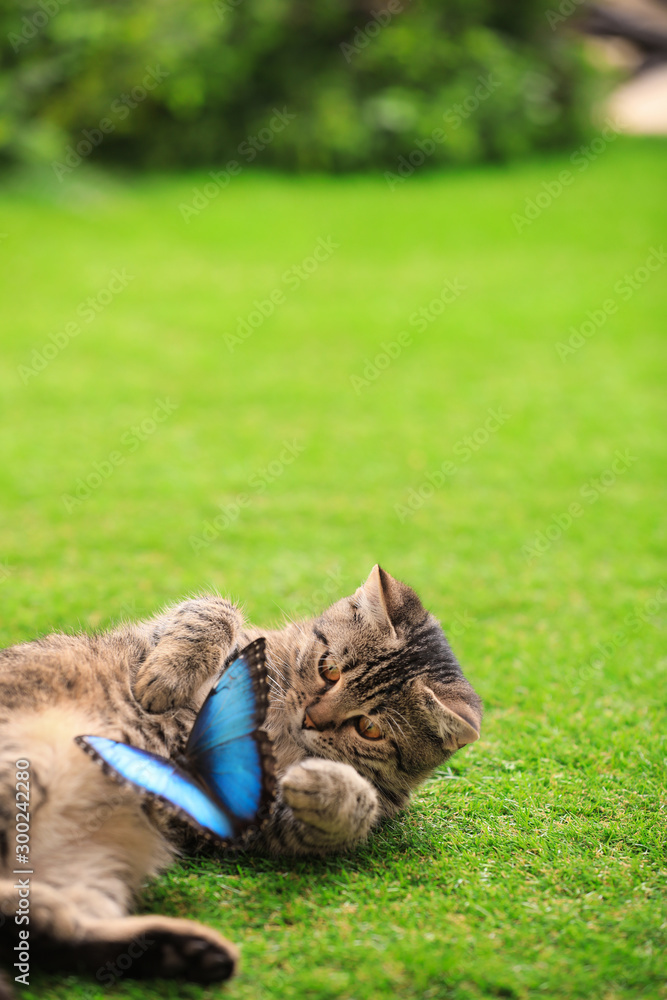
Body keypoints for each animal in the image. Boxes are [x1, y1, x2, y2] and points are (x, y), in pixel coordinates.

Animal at [0, 568, 480, 988]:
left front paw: (331, 787)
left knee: (41, 929)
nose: (312, 718)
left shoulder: (251, 819)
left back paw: (188, 952)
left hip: (90, 871)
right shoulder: (157, 635)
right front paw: (168, 676)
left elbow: (347, 811)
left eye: (369, 729)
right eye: (329, 670)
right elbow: (212, 609)